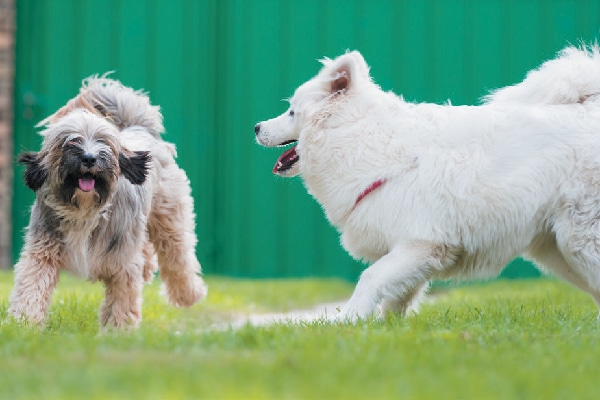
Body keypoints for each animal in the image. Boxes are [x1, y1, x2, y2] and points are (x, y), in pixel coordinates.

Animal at [256, 45, 600, 320]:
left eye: (291, 112)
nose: (257, 127)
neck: (361, 139)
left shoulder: (421, 242)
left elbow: (370, 277)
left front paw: (349, 319)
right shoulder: (412, 252)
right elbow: (397, 294)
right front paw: (389, 329)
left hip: (580, 241)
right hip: (557, 250)